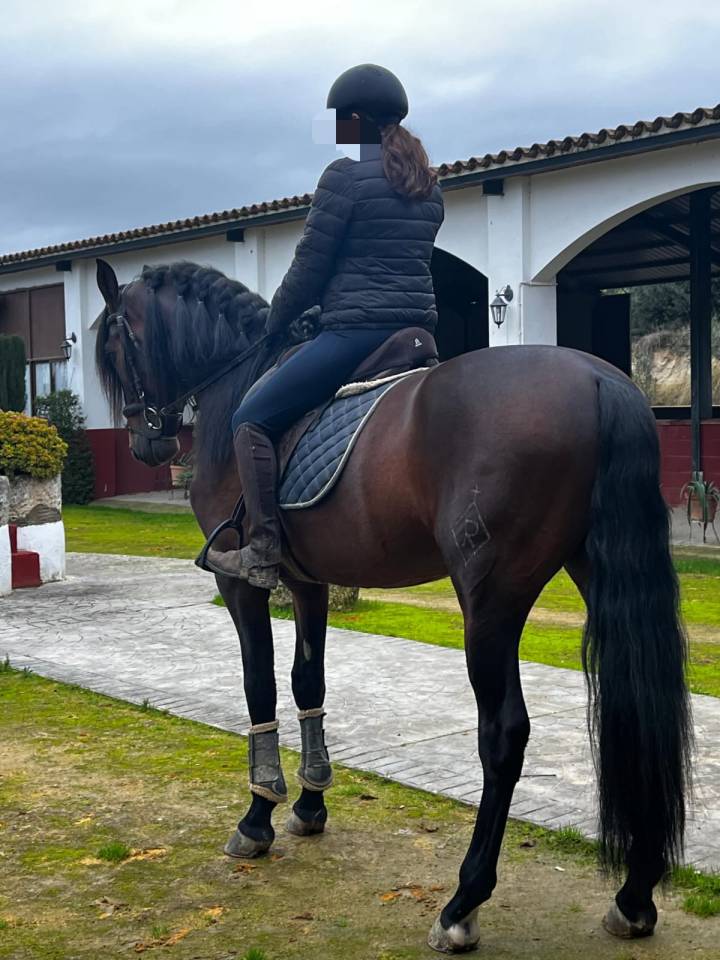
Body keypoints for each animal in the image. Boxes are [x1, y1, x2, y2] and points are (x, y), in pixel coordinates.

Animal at [94, 257, 692, 953]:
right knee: (636, 702)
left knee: (504, 734)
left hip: (491, 600)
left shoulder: (242, 584)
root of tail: (600, 378)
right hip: (593, 569)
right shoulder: (309, 584)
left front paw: (258, 814)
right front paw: (310, 804)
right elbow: (308, 681)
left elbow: (258, 686)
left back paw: (462, 903)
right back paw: (634, 896)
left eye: (116, 345)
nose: (146, 444)